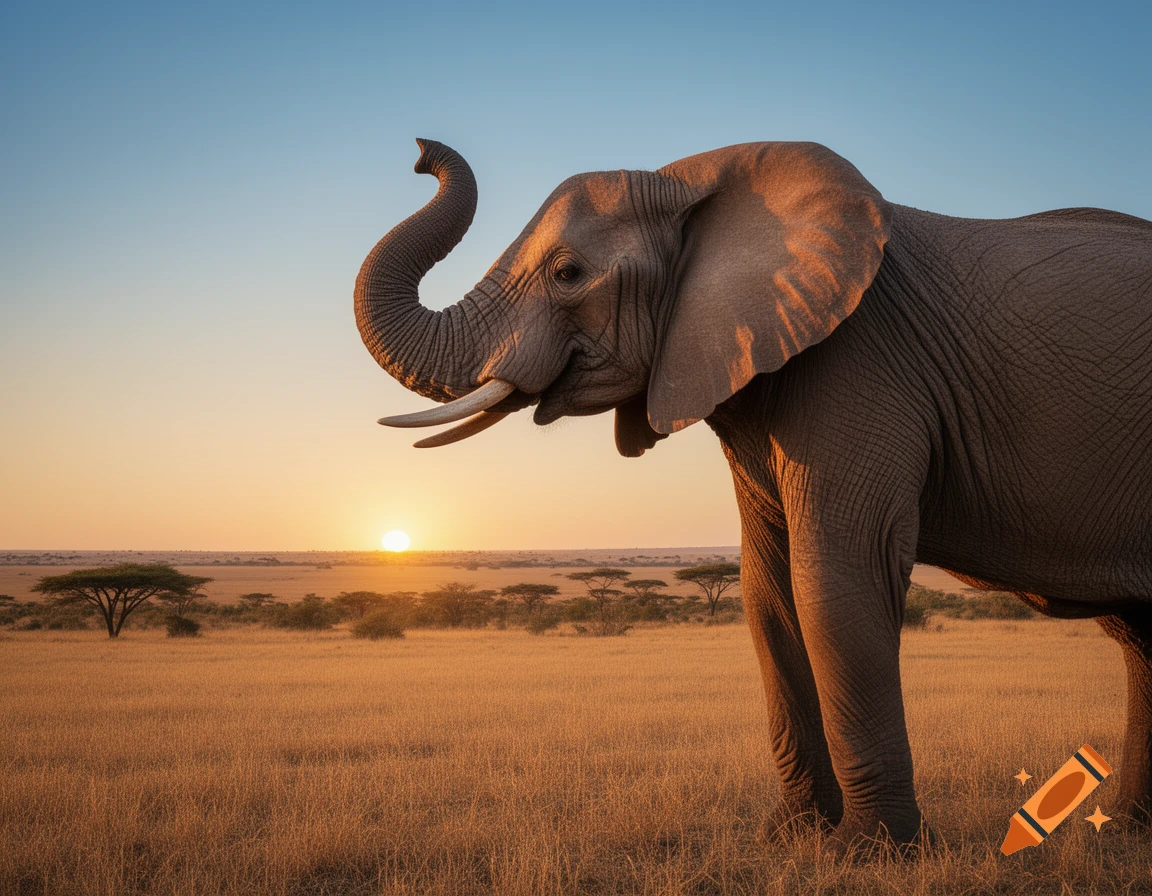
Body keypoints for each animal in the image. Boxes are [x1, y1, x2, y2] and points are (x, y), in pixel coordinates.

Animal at [353, 138, 1152, 849]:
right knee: (1138, 636)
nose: (420, 153)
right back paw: (1128, 833)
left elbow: (836, 580)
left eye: (568, 273)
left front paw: (869, 854)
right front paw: (791, 839)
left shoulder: (860, 361)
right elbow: (767, 590)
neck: (693, 180)